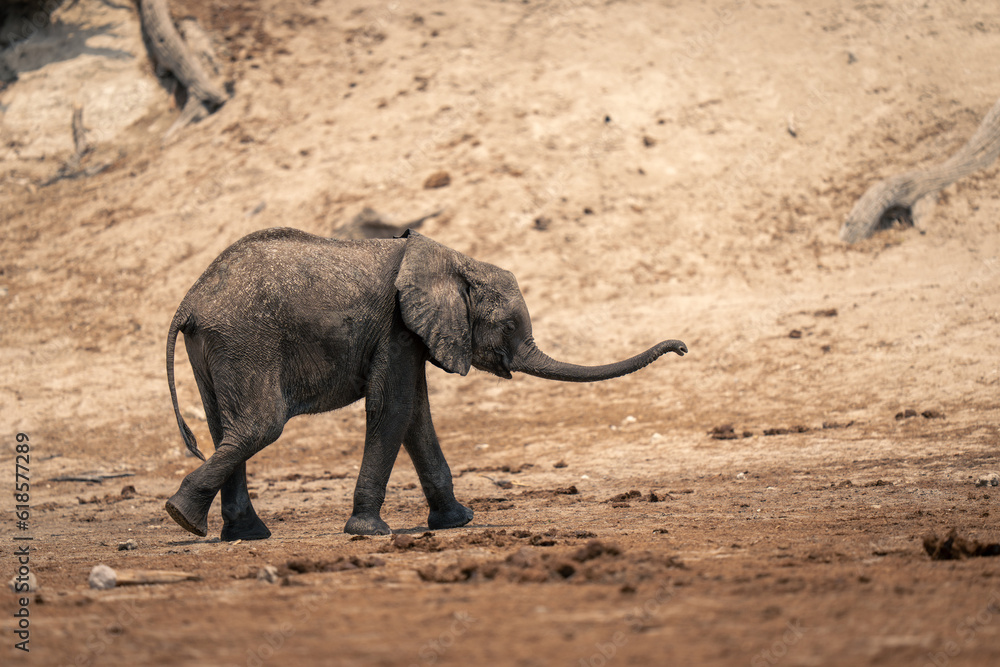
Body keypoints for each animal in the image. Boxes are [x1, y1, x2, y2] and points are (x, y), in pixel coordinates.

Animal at [164, 227, 687, 539]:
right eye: (509, 325)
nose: (681, 348)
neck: (455, 259)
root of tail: (190, 300)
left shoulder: (410, 333)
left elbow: (415, 414)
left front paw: (458, 522)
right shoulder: (397, 326)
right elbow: (394, 408)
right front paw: (369, 532)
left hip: (220, 346)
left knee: (225, 428)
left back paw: (238, 533)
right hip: (245, 339)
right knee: (260, 426)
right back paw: (184, 518)